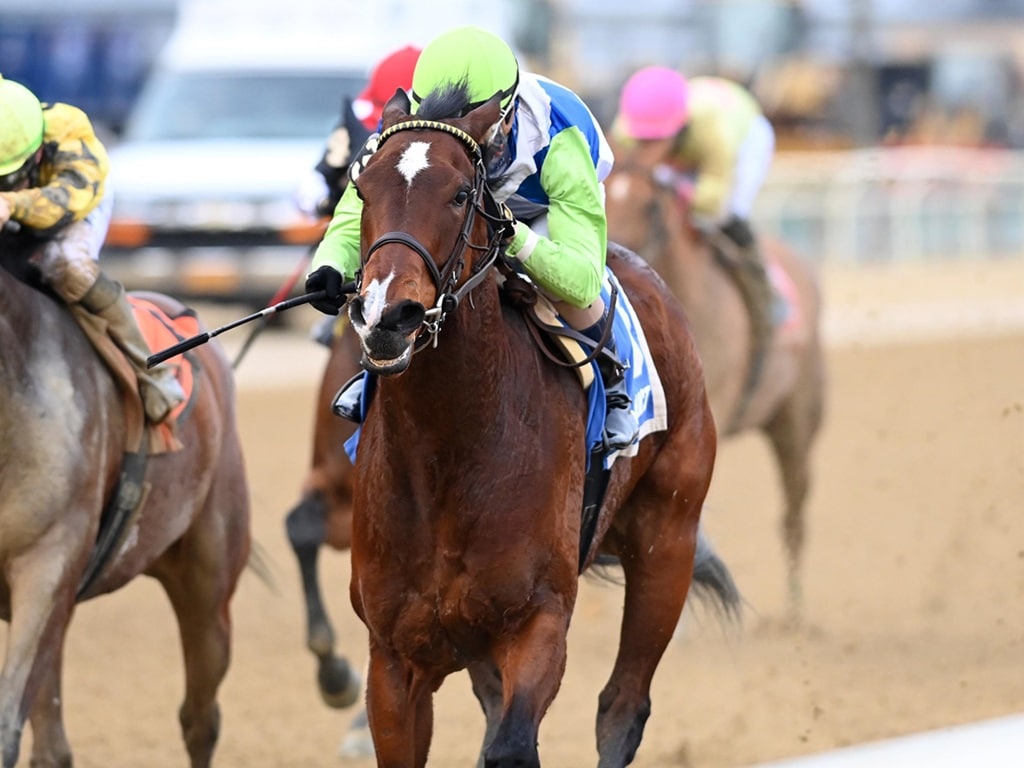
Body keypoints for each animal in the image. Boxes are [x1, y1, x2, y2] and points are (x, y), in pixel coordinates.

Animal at [339, 90, 741, 768]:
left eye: (460, 194)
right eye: (363, 189)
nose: (388, 316)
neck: (448, 452)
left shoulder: (538, 622)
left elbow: (511, 748)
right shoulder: (394, 658)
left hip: (668, 541)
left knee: (622, 707)